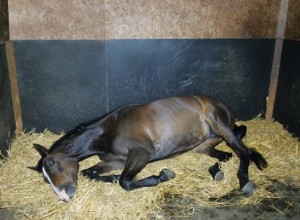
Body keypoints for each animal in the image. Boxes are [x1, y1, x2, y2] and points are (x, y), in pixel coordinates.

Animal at [28, 95, 268, 201]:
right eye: (44, 178)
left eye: (53, 163)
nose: (64, 196)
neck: (107, 130)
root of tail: (222, 105)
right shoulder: (115, 161)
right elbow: (91, 172)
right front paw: (111, 178)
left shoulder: (142, 153)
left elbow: (125, 182)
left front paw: (161, 176)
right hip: (204, 143)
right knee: (235, 146)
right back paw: (253, 161)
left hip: (219, 124)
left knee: (241, 150)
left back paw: (245, 180)